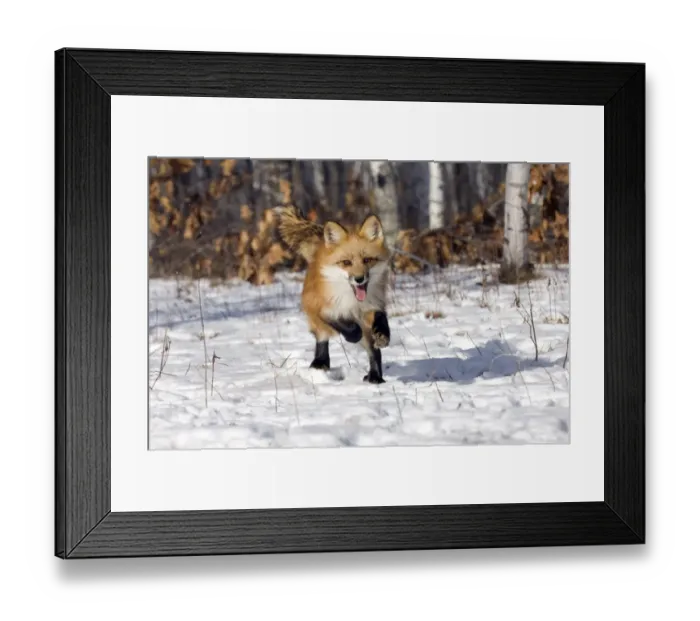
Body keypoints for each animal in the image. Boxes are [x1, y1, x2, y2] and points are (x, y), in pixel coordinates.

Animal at [278, 206, 392, 384]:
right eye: (346, 262)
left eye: (367, 260)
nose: (359, 279)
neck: (353, 302)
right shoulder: (322, 310)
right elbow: (344, 325)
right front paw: (353, 335)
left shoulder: (374, 305)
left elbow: (381, 320)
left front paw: (382, 335)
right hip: (316, 318)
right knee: (322, 339)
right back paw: (320, 363)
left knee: (373, 352)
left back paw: (375, 376)